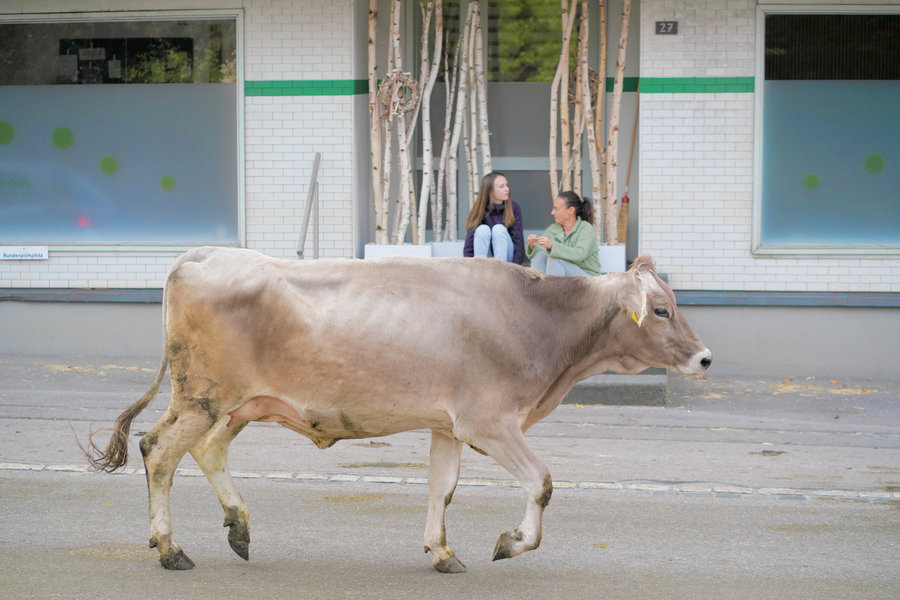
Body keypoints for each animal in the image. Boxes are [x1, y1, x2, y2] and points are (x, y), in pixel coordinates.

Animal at [86, 247, 711, 573]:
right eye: (660, 309)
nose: (705, 358)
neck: (539, 320)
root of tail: (203, 254)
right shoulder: (489, 420)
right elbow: (542, 481)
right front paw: (511, 543)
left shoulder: (449, 424)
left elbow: (443, 488)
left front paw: (441, 551)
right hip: (203, 396)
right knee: (159, 451)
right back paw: (170, 548)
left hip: (237, 404)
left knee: (205, 451)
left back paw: (238, 528)